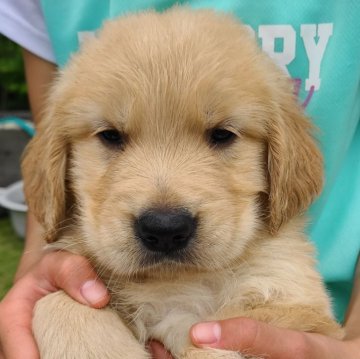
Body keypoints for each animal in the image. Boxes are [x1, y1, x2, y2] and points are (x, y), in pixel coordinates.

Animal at [21, 5, 344, 359]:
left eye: (222, 135)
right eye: (110, 136)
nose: (165, 228)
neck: (176, 283)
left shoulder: (297, 312)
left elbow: (209, 344)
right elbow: (56, 302)